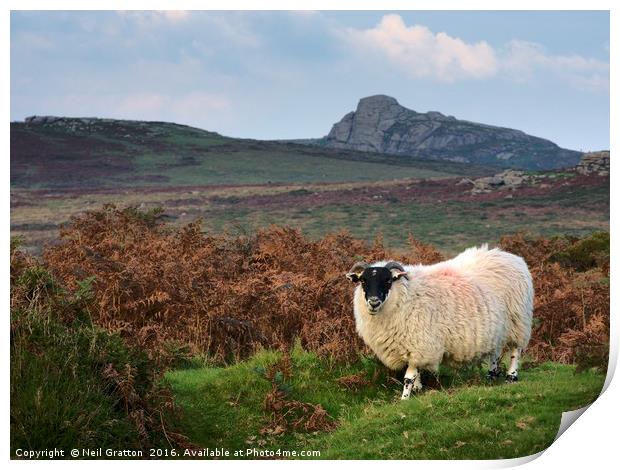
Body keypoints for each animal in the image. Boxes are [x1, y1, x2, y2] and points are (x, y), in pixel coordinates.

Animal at [346, 244, 536, 398]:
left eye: (388, 280)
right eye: (363, 280)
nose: (373, 302)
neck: (405, 293)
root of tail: (512, 257)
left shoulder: (419, 343)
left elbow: (408, 376)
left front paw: (405, 398)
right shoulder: (413, 346)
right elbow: (415, 371)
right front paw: (418, 389)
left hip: (518, 320)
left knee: (515, 350)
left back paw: (511, 376)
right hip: (497, 325)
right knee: (495, 351)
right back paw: (491, 375)